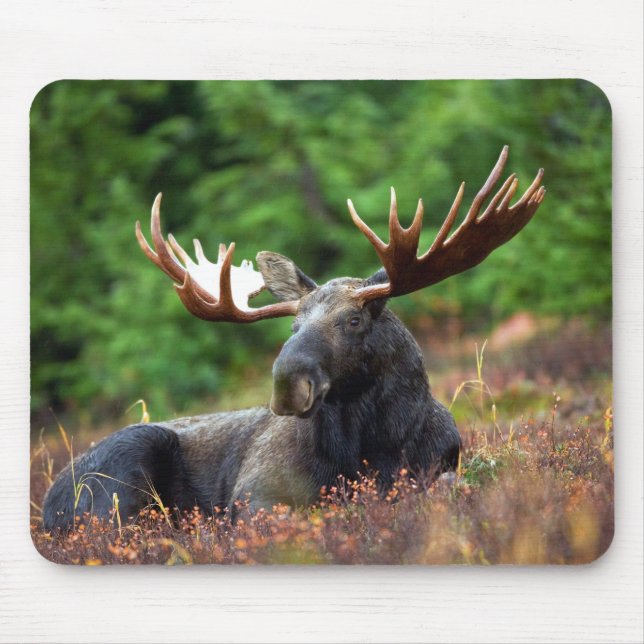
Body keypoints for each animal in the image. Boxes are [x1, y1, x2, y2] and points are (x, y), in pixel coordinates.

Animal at [42, 146, 545, 531]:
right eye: (293, 326)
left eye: (353, 320)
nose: (287, 384)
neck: (374, 447)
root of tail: (47, 503)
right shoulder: (255, 494)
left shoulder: (440, 467)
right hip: (124, 469)